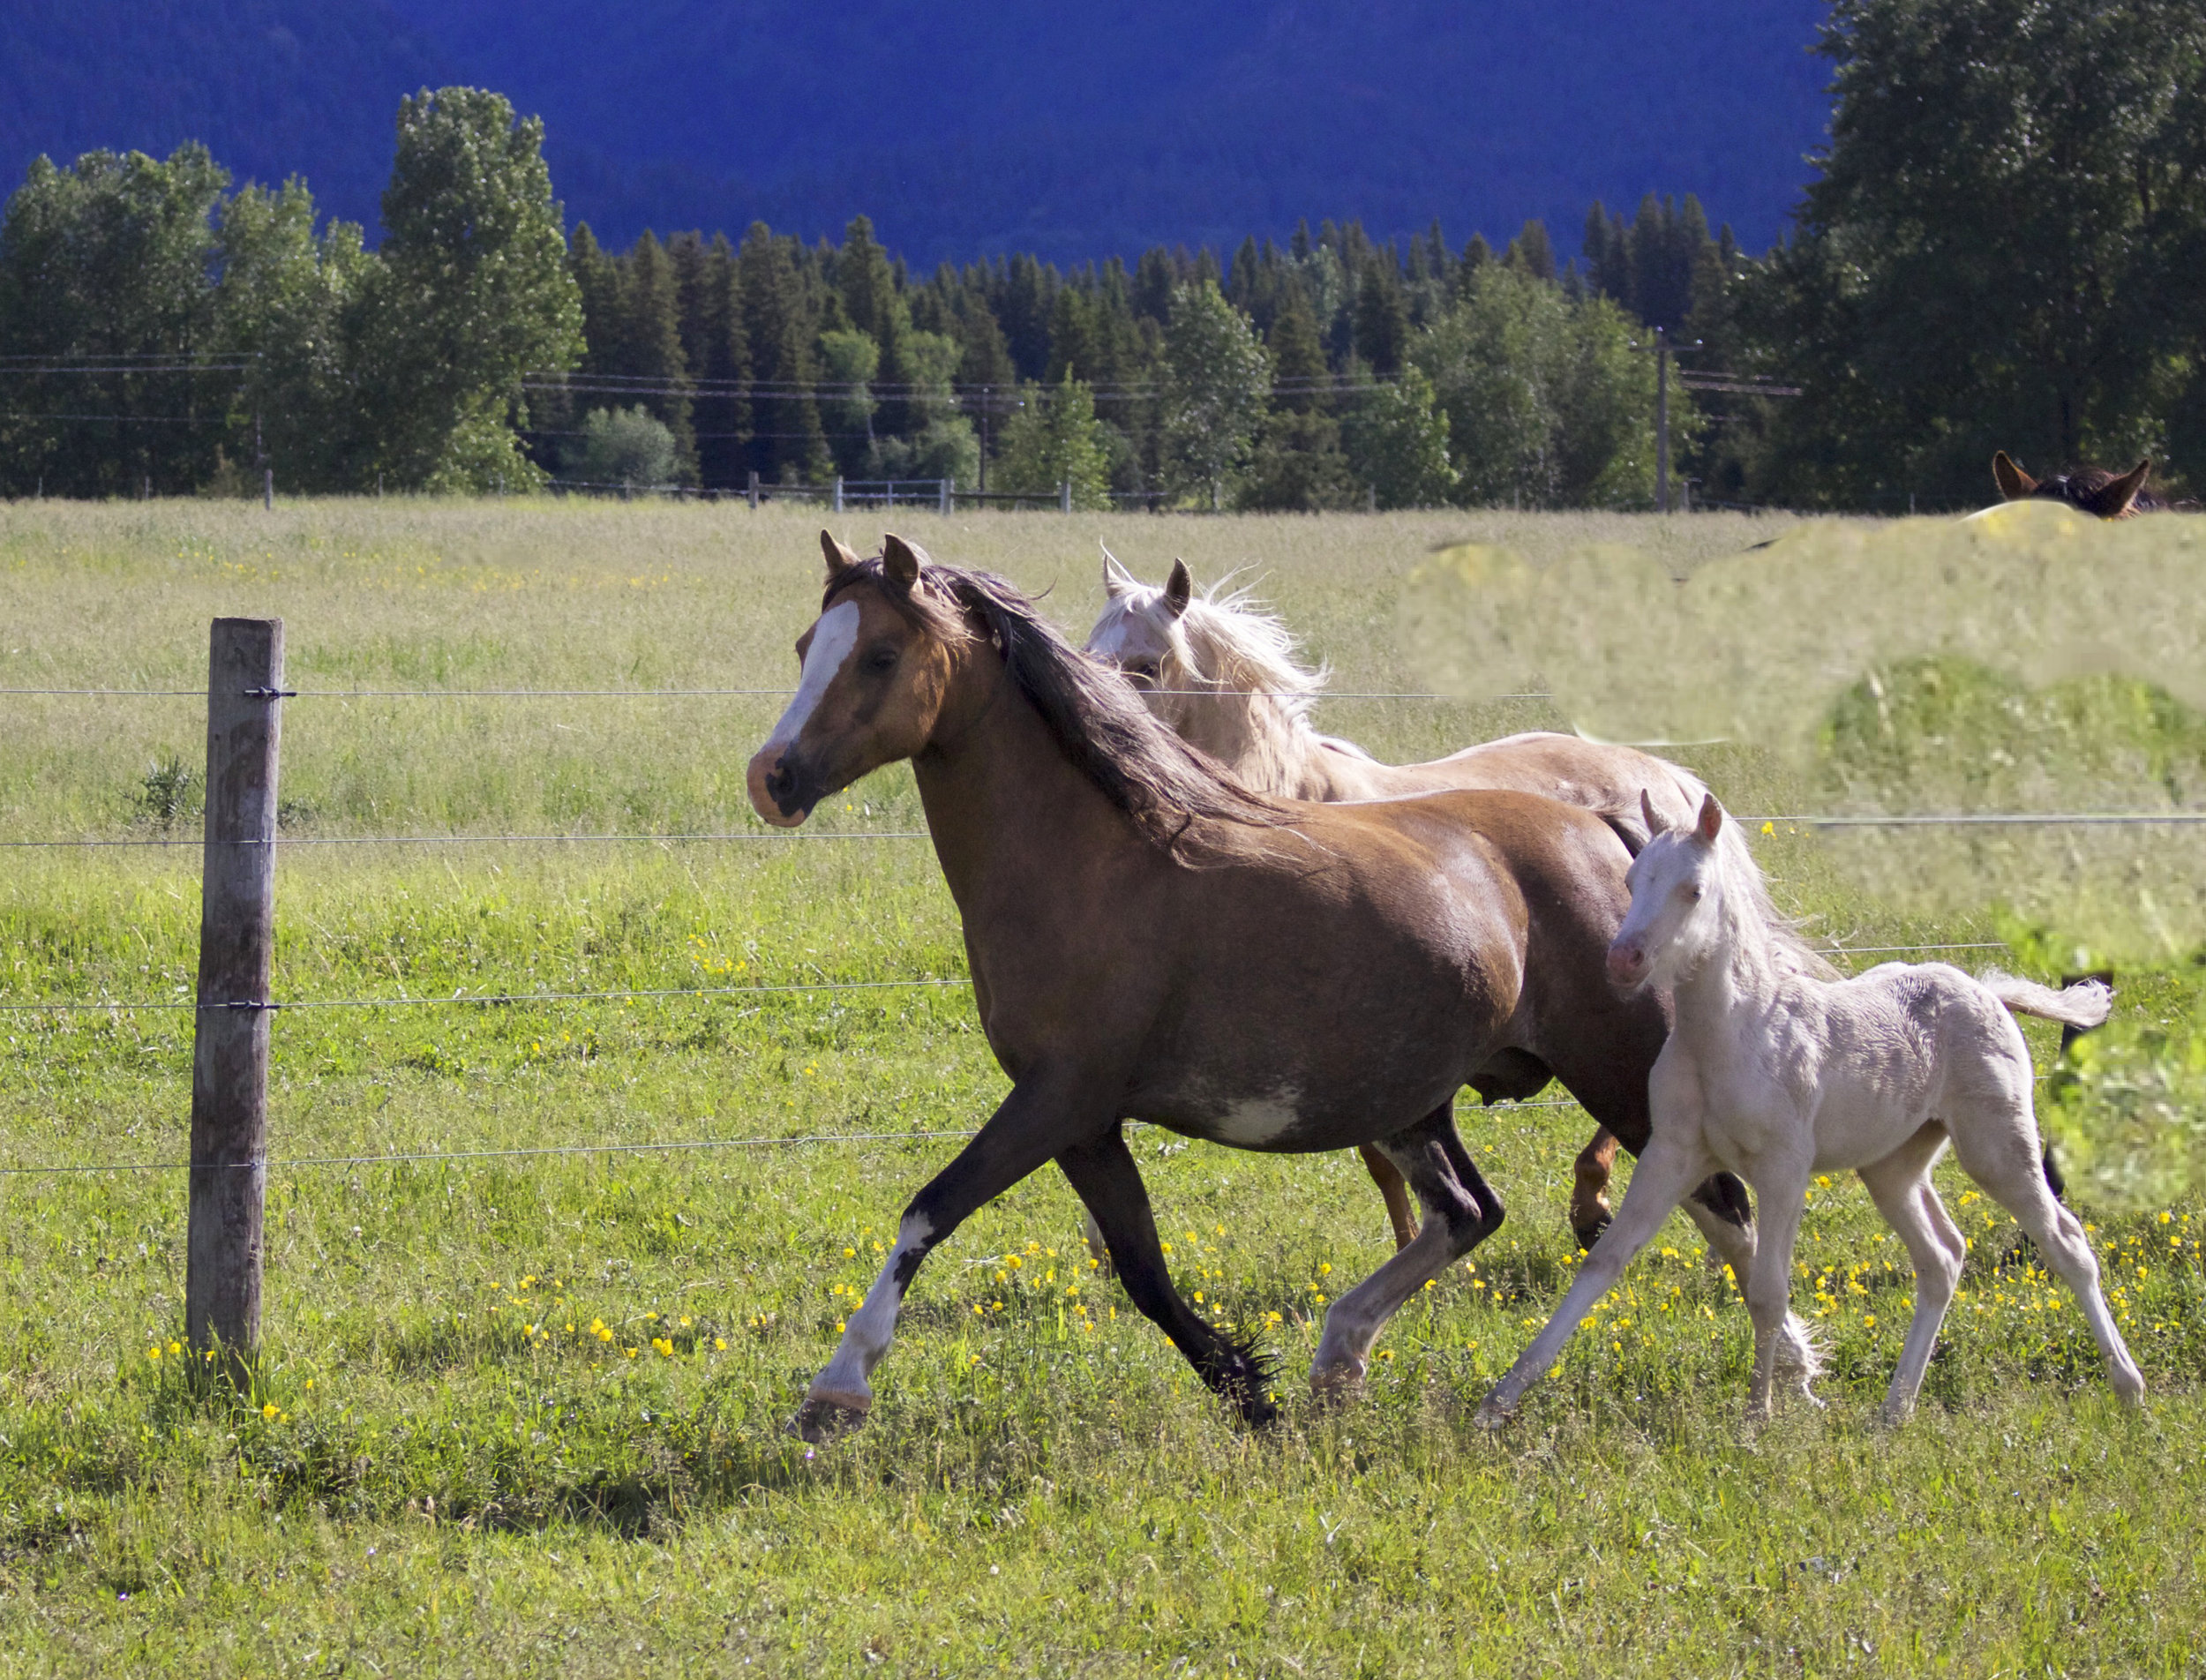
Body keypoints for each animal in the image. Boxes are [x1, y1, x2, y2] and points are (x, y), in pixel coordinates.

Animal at [1474, 793, 2144, 1420]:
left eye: (1694, 890)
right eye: (1633, 881)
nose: (1623, 960)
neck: (1731, 1034)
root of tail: (1988, 990)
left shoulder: (1783, 1167)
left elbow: (1769, 1291)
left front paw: (1759, 1416)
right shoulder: (1674, 1154)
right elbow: (1605, 1262)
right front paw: (1498, 1402)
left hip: (1996, 1145)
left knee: (2065, 1241)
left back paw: (2128, 1387)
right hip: (1892, 1165)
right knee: (1942, 1257)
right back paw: (1893, 1411)